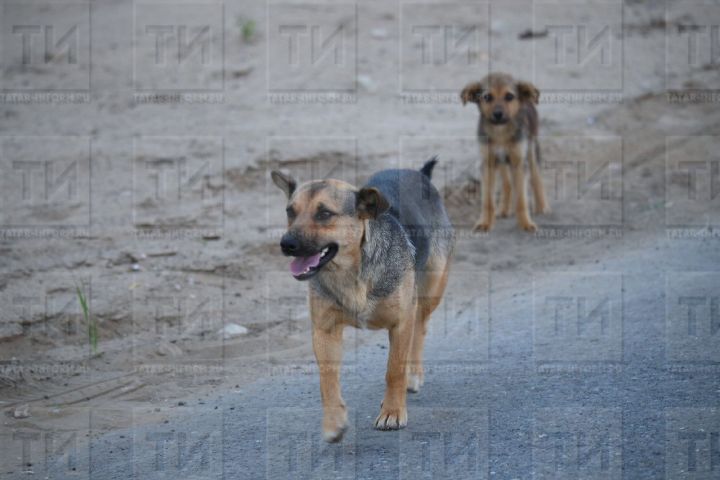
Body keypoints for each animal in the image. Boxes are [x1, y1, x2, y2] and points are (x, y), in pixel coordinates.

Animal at [272, 160, 452, 442]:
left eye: (324, 214)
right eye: (290, 211)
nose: (286, 243)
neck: (350, 275)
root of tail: (420, 174)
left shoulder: (401, 321)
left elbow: (394, 369)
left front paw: (392, 412)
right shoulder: (325, 330)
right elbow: (327, 379)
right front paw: (334, 421)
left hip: (430, 291)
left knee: (420, 330)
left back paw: (413, 374)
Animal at [462, 72, 552, 233]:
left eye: (509, 96)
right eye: (487, 97)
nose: (498, 114)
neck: (500, 132)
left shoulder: (519, 161)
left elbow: (521, 198)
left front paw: (526, 223)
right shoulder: (488, 162)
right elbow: (487, 200)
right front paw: (485, 222)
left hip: (531, 150)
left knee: (536, 178)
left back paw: (542, 206)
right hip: (502, 161)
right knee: (507, 183)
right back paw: (504, 209)